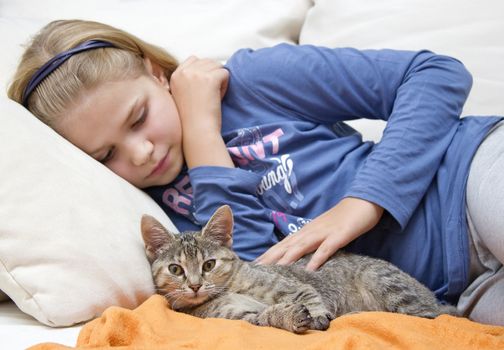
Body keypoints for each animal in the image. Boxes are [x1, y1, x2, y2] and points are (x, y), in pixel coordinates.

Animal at [141, 205, 456, 334]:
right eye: (176, 269)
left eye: (209, 265)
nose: (195, 285)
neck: (226, 290)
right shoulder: (236, 316)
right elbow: (264, 317)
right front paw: (288, 317)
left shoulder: (295, 286)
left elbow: (310, 297)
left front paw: (316, 315)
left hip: (384, 282)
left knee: (426, 317)